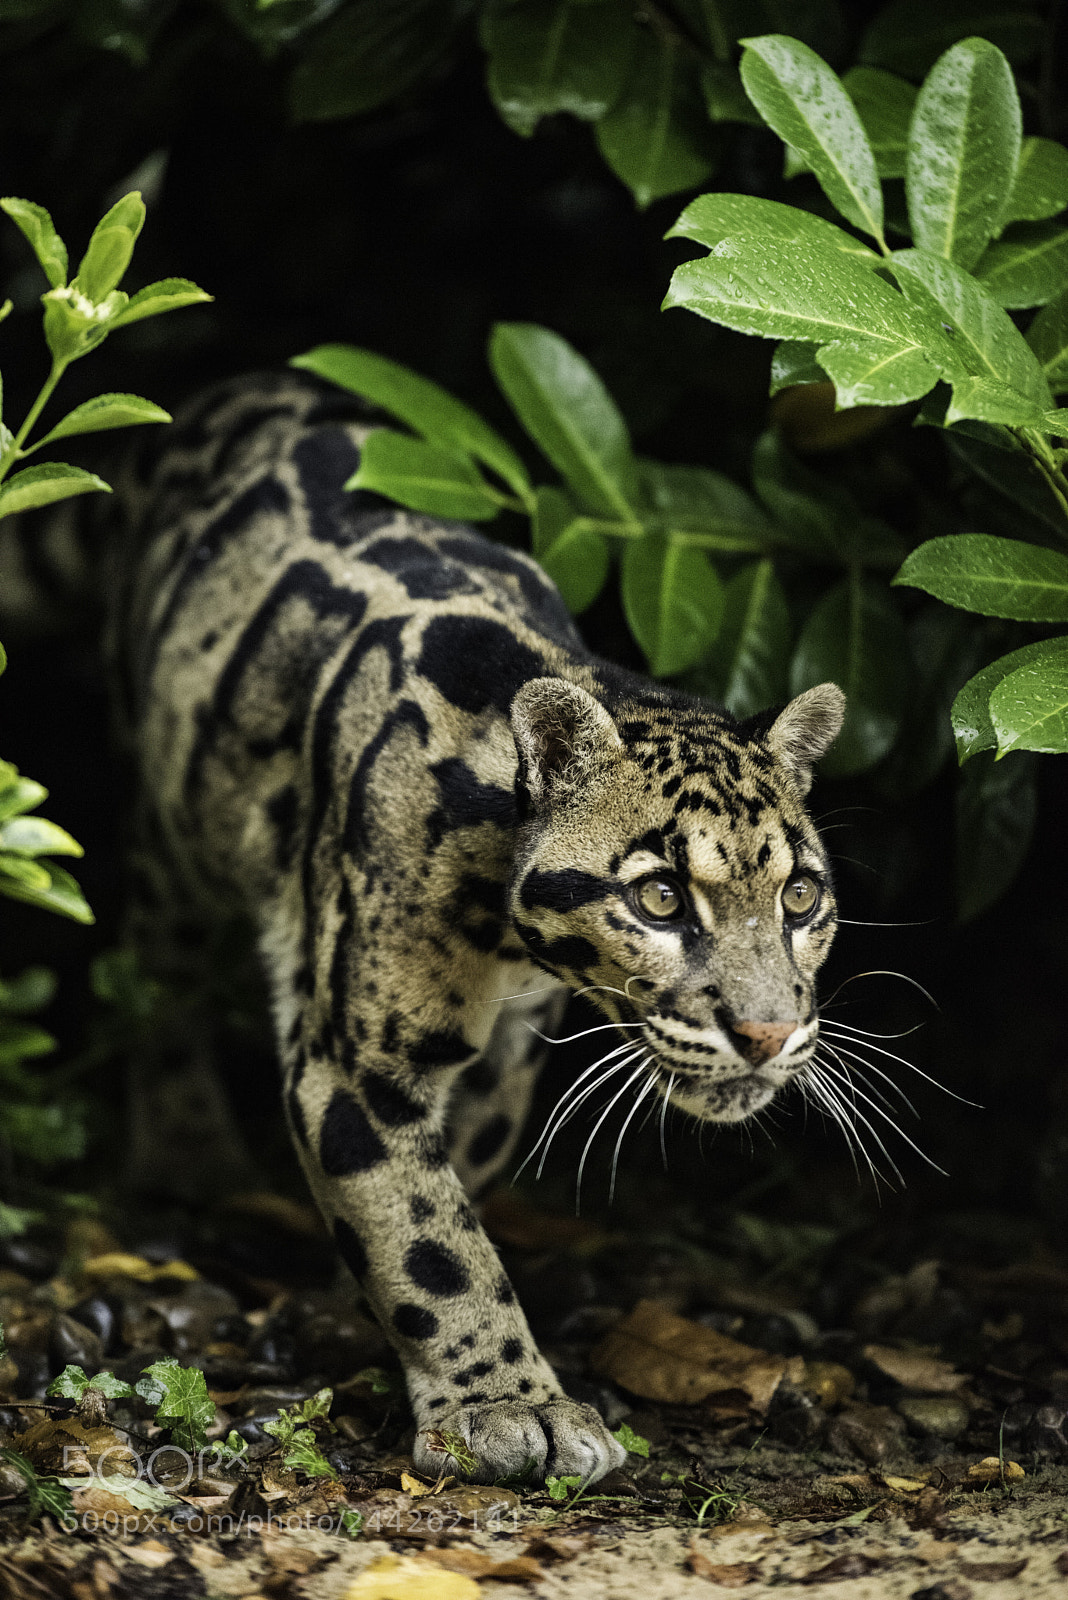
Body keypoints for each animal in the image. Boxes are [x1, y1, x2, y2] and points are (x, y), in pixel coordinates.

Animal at [90, 370, 845, 1485]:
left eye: (799, 899)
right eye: (661, 898)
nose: (767, 1032)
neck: (504, 928)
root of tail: (240, 385)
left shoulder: (513, 1045)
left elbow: (454, 1183)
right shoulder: (356, 1058)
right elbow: (427, 1234)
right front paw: (508, 1404)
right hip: (176, 818)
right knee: (159, 955)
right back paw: (187, 1147)